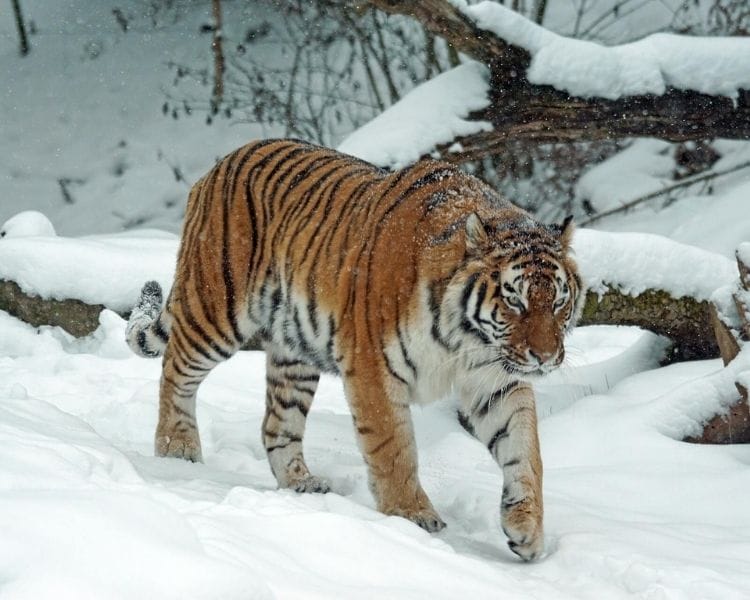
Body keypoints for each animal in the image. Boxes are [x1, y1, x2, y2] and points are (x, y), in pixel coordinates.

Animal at [126, 138, 583, 561]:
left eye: (558, 301)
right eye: (514, 300)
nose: (545, 358)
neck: (466, 339)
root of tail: (220, 163)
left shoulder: (496, 379)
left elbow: (525, 450)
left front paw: (526, 529)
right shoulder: (373, 368)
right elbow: (394, 448)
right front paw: (412, 516)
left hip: (294, 352)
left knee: (277, 423)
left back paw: (301, 483)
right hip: (216, 308)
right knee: (175, 370)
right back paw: (176, 449)